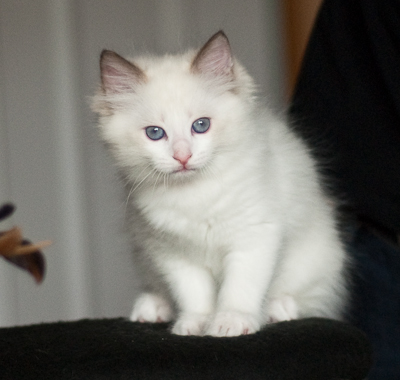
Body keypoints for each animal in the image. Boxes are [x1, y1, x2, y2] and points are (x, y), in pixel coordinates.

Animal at [93, 31, 346, 336]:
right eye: (155, 133)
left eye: (201, 125)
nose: (182, 156)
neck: (194, 194)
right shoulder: (172, 253)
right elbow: (193, 295)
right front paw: (194, 324)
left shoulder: (253, 237)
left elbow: (240, 289)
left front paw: (230, 323)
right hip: (144, 254)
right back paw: (152, 308)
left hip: (318, 258)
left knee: (309, 298)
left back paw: (278, 309)